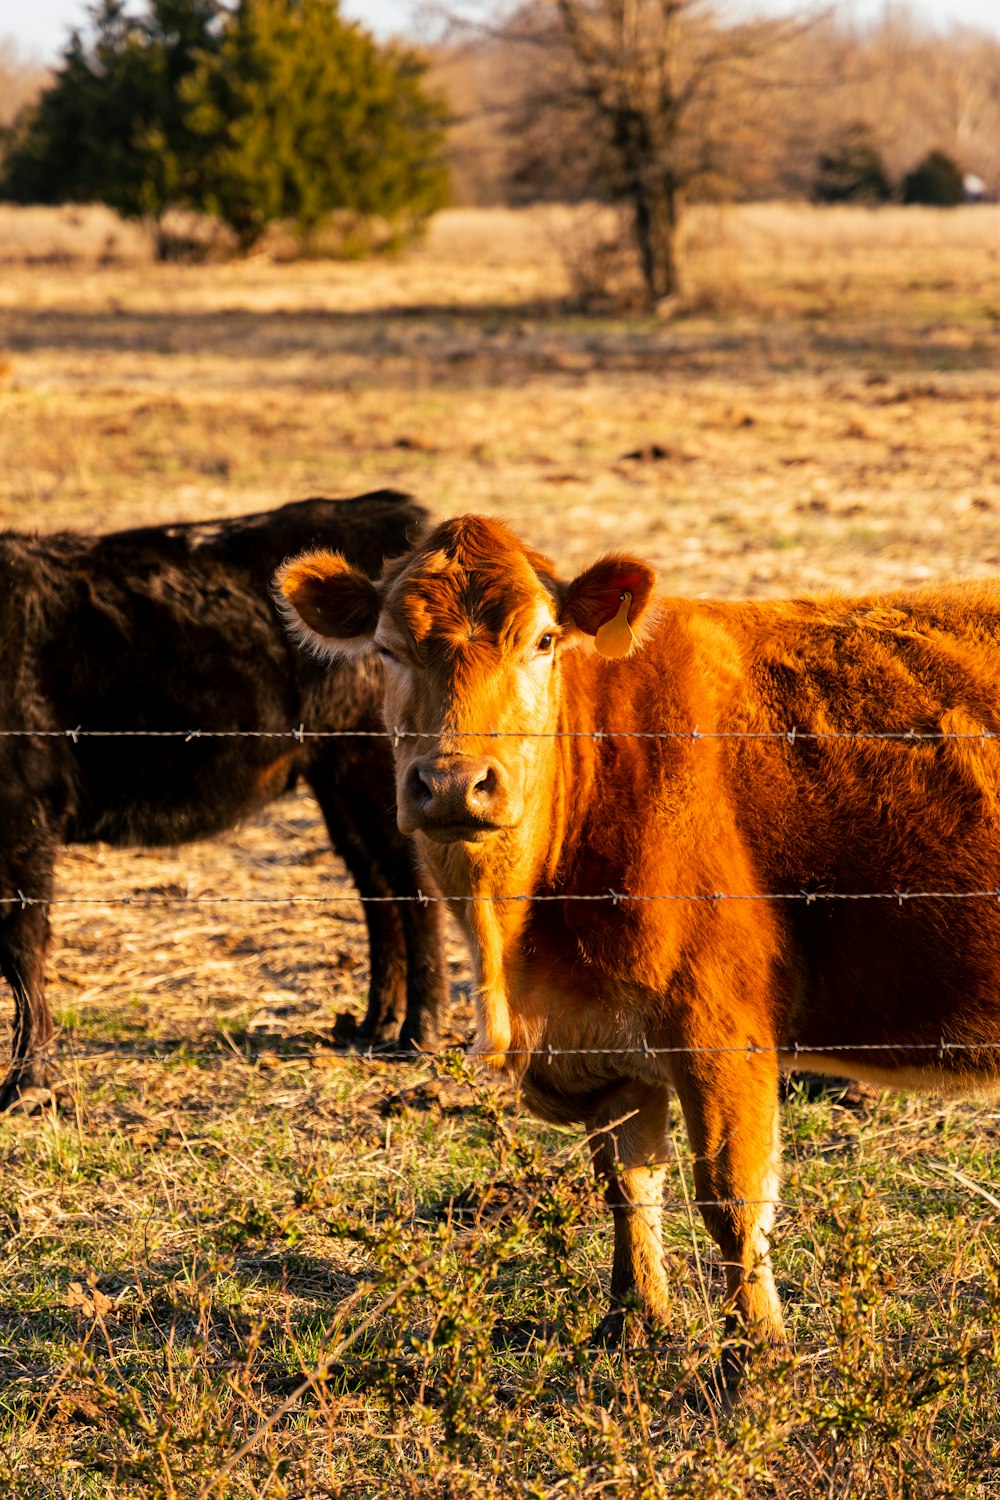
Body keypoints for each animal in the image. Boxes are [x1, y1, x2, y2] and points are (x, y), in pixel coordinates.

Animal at [0, 486, 446, 1110]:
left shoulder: (24, 815)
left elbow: (20, 946)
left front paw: (27, 1085)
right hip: (336, 778)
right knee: (378, 888)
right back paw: (373, 1024)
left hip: (379, 768)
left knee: (413, 887)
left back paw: (418, 1033)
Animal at [277, 516, 1000, 1380]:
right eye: (386, 649)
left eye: (544, 640)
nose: (453, 783)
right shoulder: (602, 1045)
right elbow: (626, 1180)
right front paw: (634, 1321)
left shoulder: (719, 1028)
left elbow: (730, 1194)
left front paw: (758, 1356)